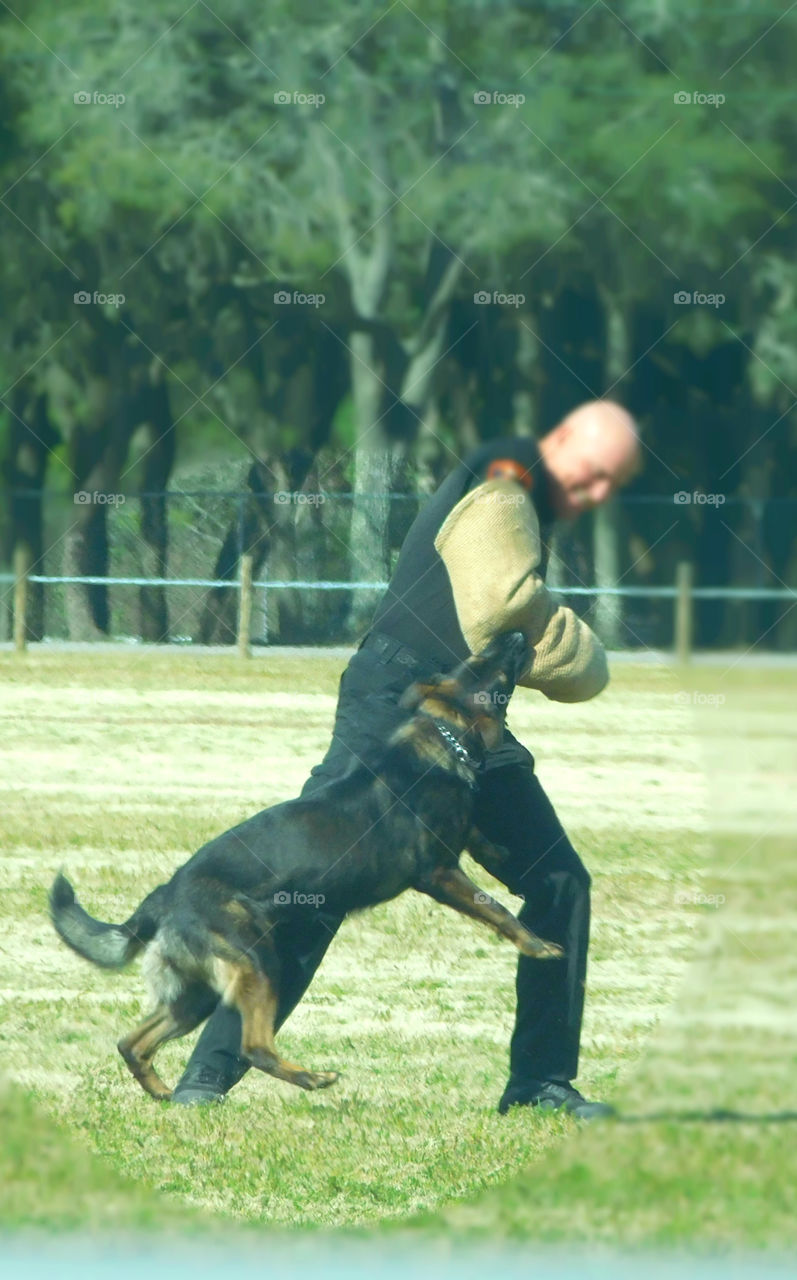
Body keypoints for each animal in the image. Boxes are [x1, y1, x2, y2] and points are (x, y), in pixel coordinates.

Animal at [49, 629, 560, 1100]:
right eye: (490, 666)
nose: (517, 633)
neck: (444, 735)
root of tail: (164, 896)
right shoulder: (437, 875)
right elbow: (496, 909)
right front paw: (537, 945)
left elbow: (477, 837)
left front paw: (498, 853)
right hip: (258, 963)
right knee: (254, 1047)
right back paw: (311, 1077)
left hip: (197, 993)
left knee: (132, 1042)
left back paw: (162, 1093)